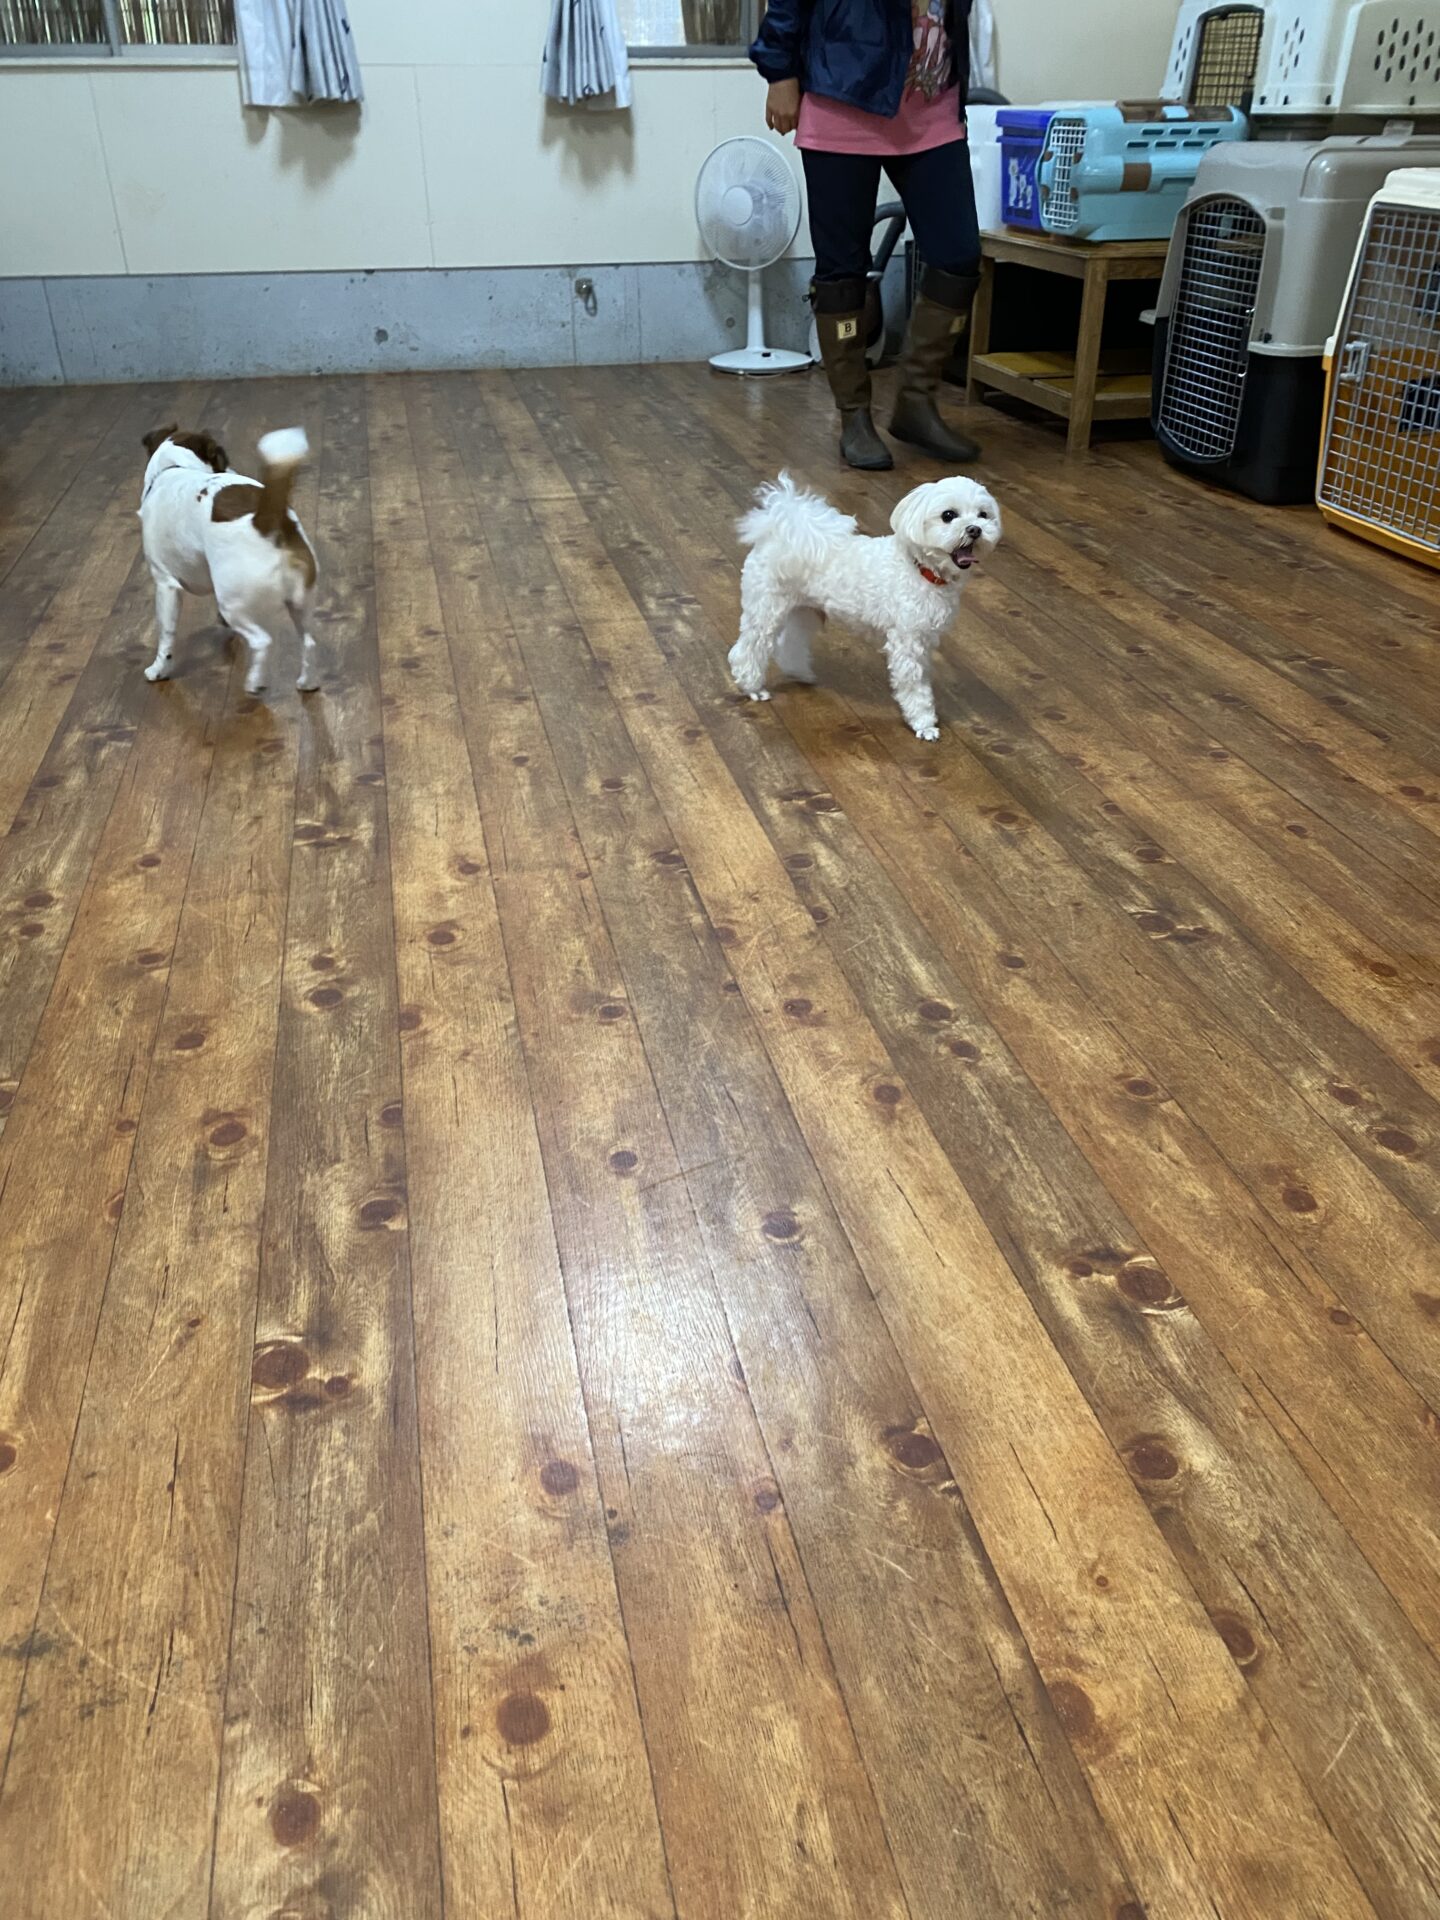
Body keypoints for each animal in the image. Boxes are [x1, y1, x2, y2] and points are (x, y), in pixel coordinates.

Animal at [138, 424, 319, 696]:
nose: (233, 469)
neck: (172, 467)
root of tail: (267, 520)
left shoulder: (166, 585)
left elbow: (166, 637)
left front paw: (159, 670)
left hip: (233, 604)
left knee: (262, 641)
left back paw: (254, 682)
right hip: (299, 603)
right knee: (308, 642)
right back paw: (307, 683)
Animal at [729, 472, 1001, 740]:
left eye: (983, 515)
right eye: (948, 515)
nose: (975, 529)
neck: (920, 569)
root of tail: (779, 531)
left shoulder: (924, 638)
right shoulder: (908, 642)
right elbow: (915, 687)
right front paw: (923, 724)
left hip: (805, 610)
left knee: (790, 642)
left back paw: (800, 673)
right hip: (766, 608)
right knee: (748, 649)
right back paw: (752, 686)